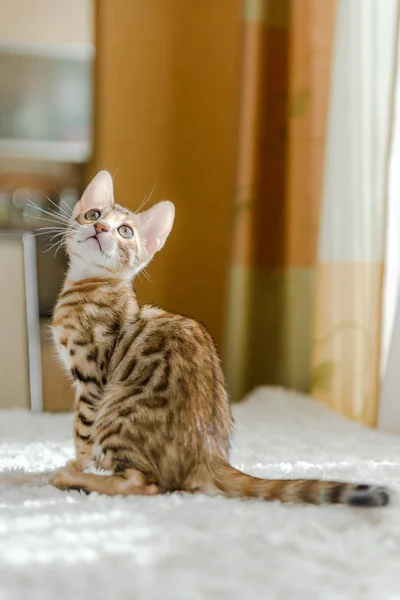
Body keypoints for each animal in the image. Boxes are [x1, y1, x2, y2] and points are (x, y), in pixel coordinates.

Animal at [50, 170, 390, 506]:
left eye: (125, 231)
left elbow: (82, 431)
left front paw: (78, 465)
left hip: (117, 413)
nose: (100, 227)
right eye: (93, 214)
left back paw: (75, 480)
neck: (90, 284)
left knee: (146, 485)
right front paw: (87, 463)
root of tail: (210, 456)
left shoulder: (92, 380)